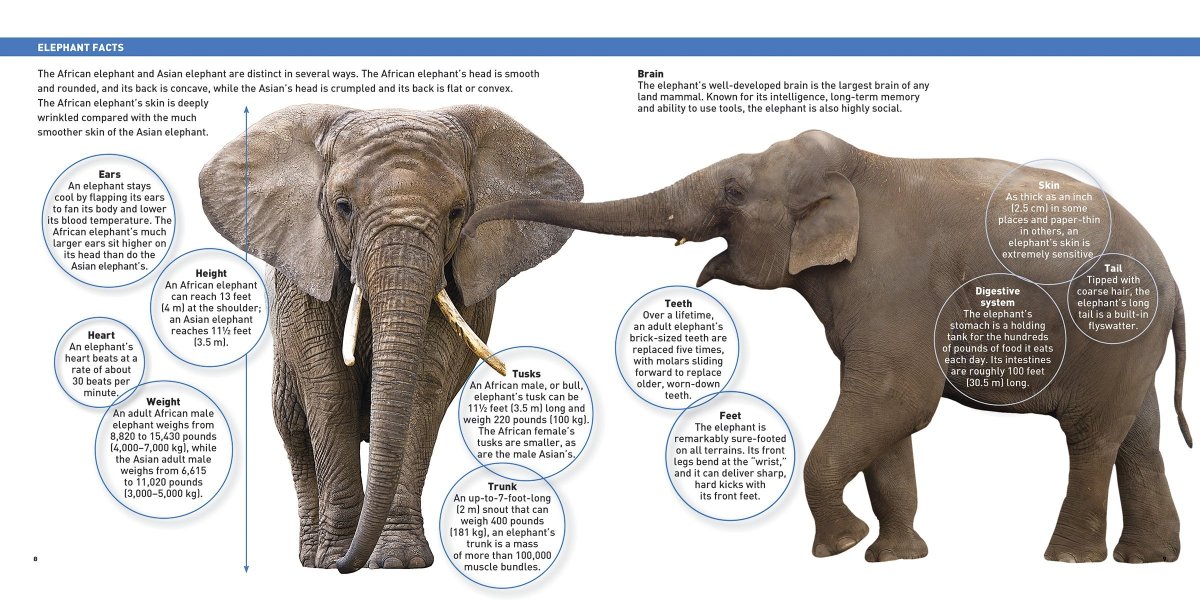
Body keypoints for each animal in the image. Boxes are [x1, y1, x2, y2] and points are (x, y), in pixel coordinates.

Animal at [199, 104, 582, 572]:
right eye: (343, 207)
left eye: (457, 212)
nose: (348, 565)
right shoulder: (302, 270)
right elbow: (328, 385)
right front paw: (335, 558)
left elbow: (422, 385)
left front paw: (399, 561)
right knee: (292, 426)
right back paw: (310, 557)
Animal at [463, 130, 1189, 563]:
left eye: (734, 190)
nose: (468, 222)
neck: (856, 168)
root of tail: (1176, 281)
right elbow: (888, 418)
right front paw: (893, 559)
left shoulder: (894, 283)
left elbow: (899, 398)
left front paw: (841, 548)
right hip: (1132, 339)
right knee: (1139, 433)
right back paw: (1148, 561)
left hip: (1112, 326)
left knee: (1092, 436)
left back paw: (1069, 561)